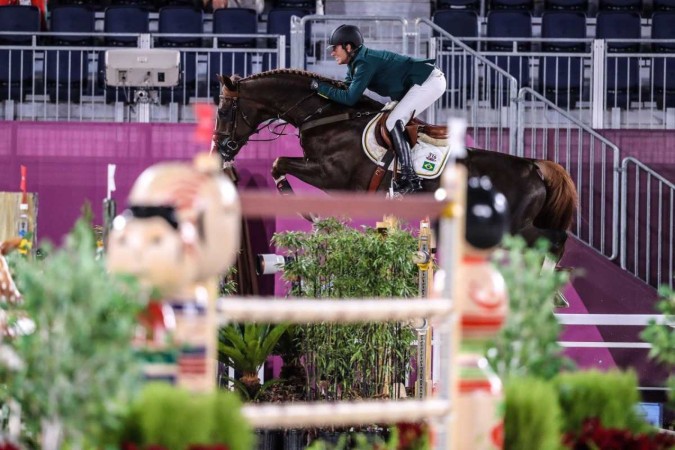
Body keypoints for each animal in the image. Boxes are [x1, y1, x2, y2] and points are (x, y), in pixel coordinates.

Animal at [214, 68, 580, 262]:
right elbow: (279, 165)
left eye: (224, 110)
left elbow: (278, 164)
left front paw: (311, 216)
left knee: (555, 238)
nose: (219, 150)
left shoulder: (331, 175)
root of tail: (533, 166)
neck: (327, 116)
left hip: (513, 228)